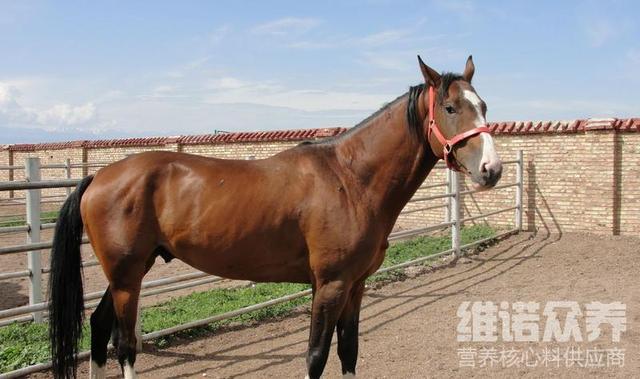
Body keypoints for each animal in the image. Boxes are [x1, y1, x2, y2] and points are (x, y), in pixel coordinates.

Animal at [48, 55, 500, 379]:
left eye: (483, 105)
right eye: (450, 107)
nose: (491, 170)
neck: (351, 179)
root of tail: (101, 175)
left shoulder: (355, 286)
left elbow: (349, 353)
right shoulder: (330, 285)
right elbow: (316, 356)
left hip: (130, 271)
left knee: (99, 327)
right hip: (127, 277)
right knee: (125, 346)